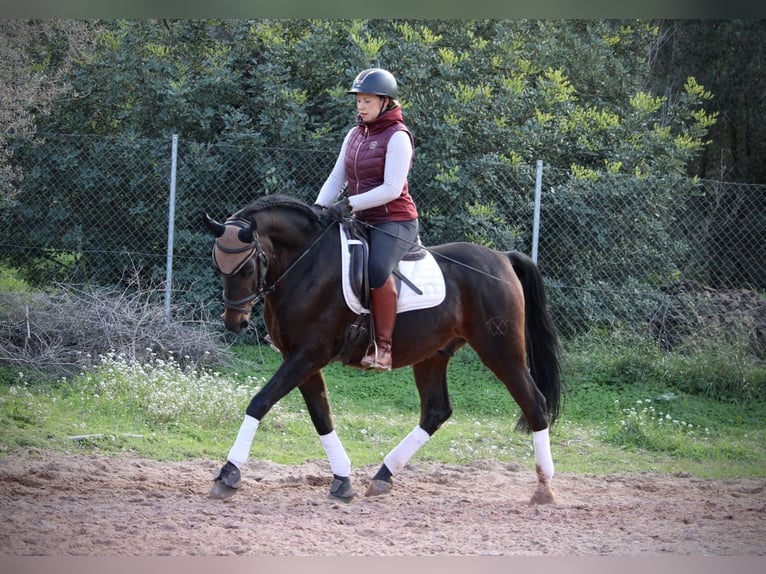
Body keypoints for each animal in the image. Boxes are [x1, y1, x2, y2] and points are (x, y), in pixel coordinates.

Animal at [203, 193, 562, 505]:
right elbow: (321, 415)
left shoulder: (308, 354)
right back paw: (382, 476)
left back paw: (544, 488)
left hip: (501, 351)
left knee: (534, 403)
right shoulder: (301, 357)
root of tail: (503, 258)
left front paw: (229, 474)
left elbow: (260, 402)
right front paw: (342, 479)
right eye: (218, 268)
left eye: (248, 268)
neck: (306, 264)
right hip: (432, 355)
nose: (235, 322)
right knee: (435, 411)